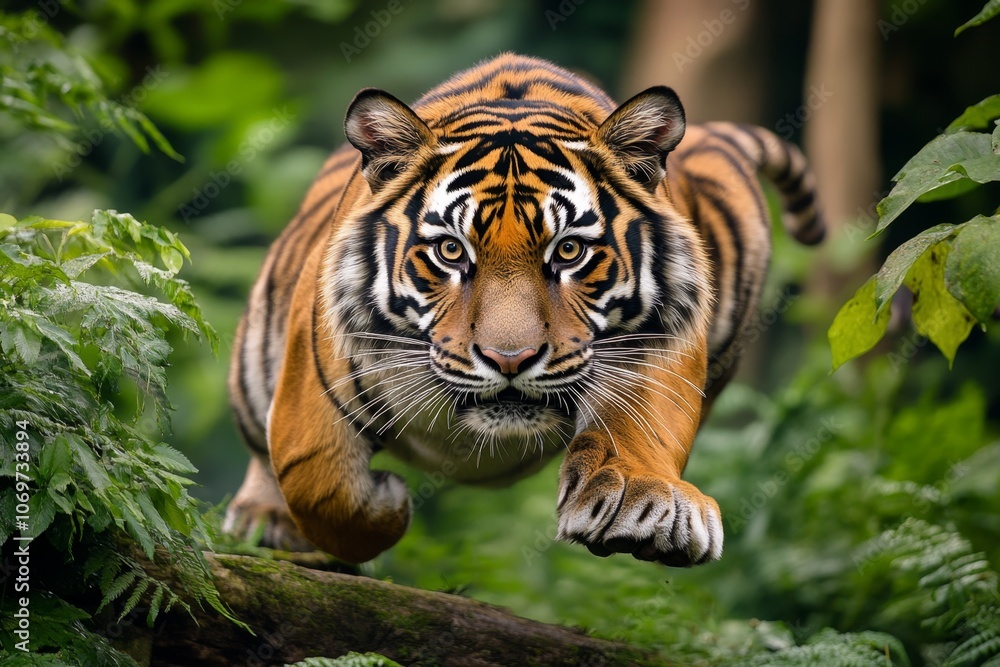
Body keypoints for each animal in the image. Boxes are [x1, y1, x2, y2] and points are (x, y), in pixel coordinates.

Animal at [223, 53, 824, 567]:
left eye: (569, 250)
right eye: (451, 251)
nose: (509, 360)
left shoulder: (663, 336)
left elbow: (644, 424)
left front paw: (650, 507)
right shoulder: (312, 391)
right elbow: (323, 488)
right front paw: (388, 503)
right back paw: (265, 519)